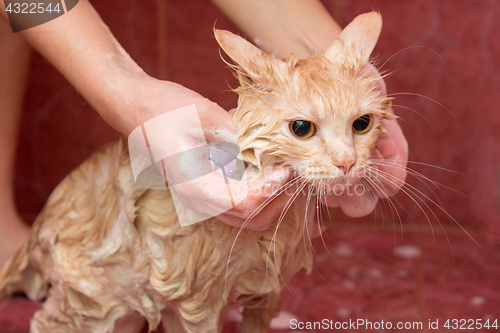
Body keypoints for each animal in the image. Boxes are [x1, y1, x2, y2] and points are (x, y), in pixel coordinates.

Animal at [0, 11, 394, 332]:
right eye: (302, 128)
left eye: (362, 124)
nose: (347, 163)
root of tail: (40, 222)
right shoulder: (194, 306)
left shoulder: (267, 296)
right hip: (102, 305)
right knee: (47, 321)